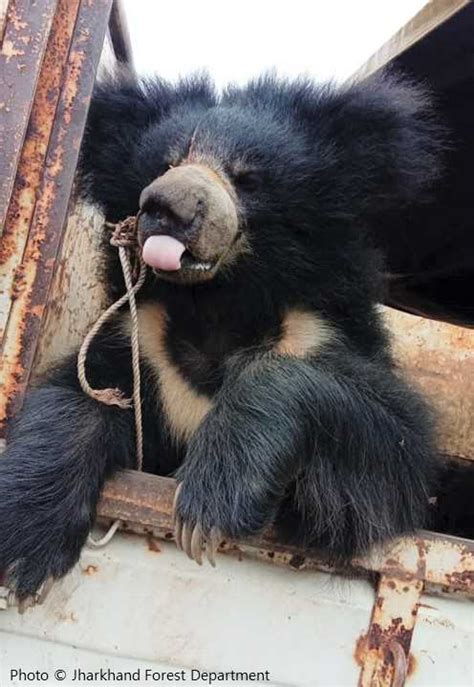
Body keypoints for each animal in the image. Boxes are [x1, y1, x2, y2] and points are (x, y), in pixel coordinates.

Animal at [0, 68, 444, 596]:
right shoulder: (141, 345)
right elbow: (80, 396)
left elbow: (392, 457)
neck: (217, 303)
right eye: (166, 164)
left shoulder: (320, 333)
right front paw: (22, 546)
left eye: (247, 177)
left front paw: (206, 509)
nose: (164, 207)